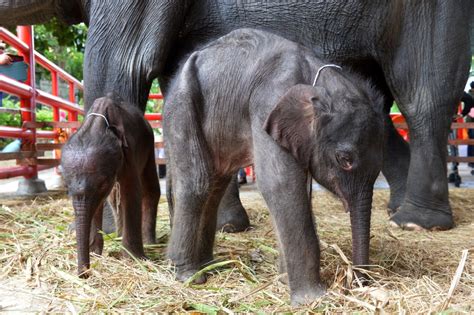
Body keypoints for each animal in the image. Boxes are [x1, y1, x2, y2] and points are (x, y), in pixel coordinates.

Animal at [1, 0, 472, 232]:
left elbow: (122, 63)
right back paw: (397, 212)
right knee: (376, 104)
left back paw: (418, 224)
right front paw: (228, 227)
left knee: (423, 94)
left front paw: (108, 233)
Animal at [61, 95, 160, 278]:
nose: (84, 274)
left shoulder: (130, 153)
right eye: (66, 187)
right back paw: (119, 236)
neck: (97, 124)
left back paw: (149, 243)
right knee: (114, 199)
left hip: (150, 144)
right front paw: (95, 253)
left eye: (102, 184)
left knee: (150, 188)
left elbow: (132, 192)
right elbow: (98, 204)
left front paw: (133, 259)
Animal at [163, 29, 386, 306]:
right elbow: (280, 185)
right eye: (345, 159)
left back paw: (209, 266)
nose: (359, 283)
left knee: (215, 184)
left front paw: (283, 280)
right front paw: (312, 300)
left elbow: (298, 190)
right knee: (198, 182)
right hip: (182, 106)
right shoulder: (265, 106)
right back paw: (190, 276)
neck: (317, 78)